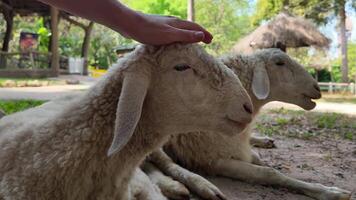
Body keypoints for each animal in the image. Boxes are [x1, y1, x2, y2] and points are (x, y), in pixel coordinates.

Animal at [149, 48, 352, 200]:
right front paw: (329, 191)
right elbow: (269, 173)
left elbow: (258, 159)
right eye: (279, 63)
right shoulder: (210, 158)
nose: (317, 88)